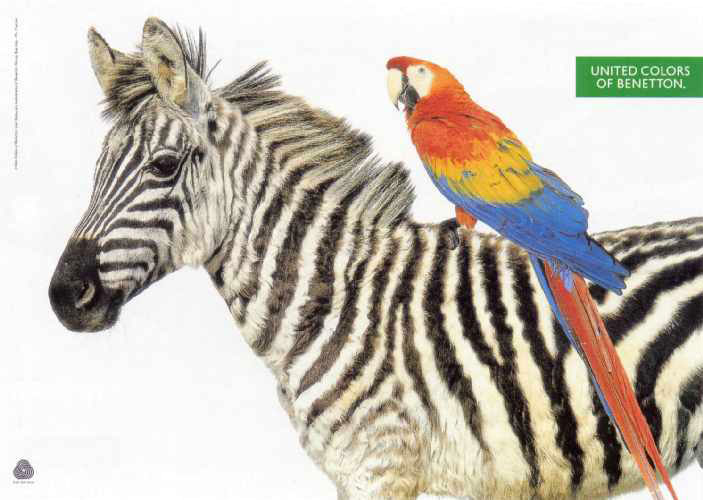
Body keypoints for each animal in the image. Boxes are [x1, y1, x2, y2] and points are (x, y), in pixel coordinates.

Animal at [48, 17, 703, 499]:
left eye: (163, 167)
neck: (335, 294)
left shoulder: (382, 463)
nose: (63, 297)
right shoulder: (353, 470)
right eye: (95, 168)